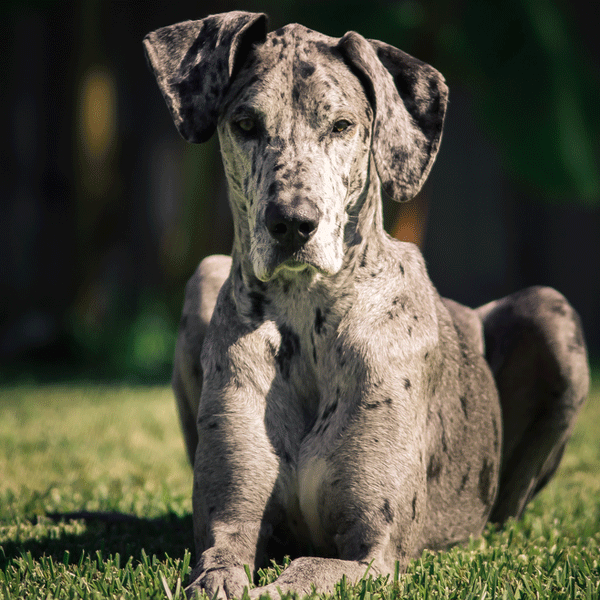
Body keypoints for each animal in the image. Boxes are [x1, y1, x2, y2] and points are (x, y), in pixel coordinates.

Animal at [143, 11, 588, 596]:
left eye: (341, 126)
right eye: (245, 123)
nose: (292, 223)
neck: (308, 316)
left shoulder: (374, 553)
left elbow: (302, 573)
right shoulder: (228, 528)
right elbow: (220, 568)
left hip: (550, 310)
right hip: (204, 273)